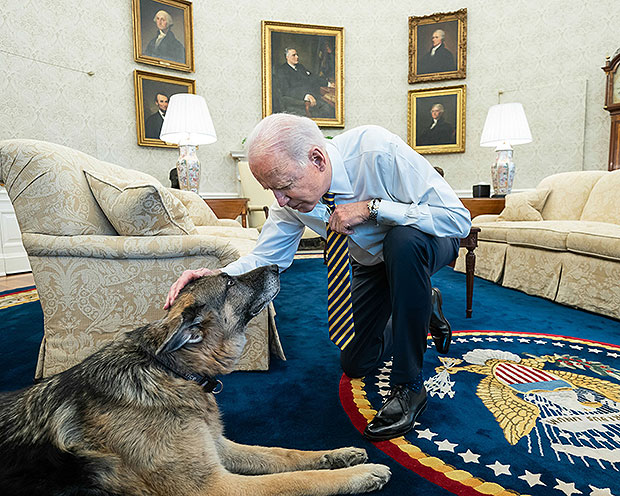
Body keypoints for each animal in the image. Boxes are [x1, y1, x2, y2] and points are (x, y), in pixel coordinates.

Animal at [0, 266, 390, 494]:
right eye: (230, 281)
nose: (277, 265)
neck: (170, 370)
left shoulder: (219, 447)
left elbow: (284, 454)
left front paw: (337, 455)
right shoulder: (216, 486)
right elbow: (294, 479)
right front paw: (358, 475)